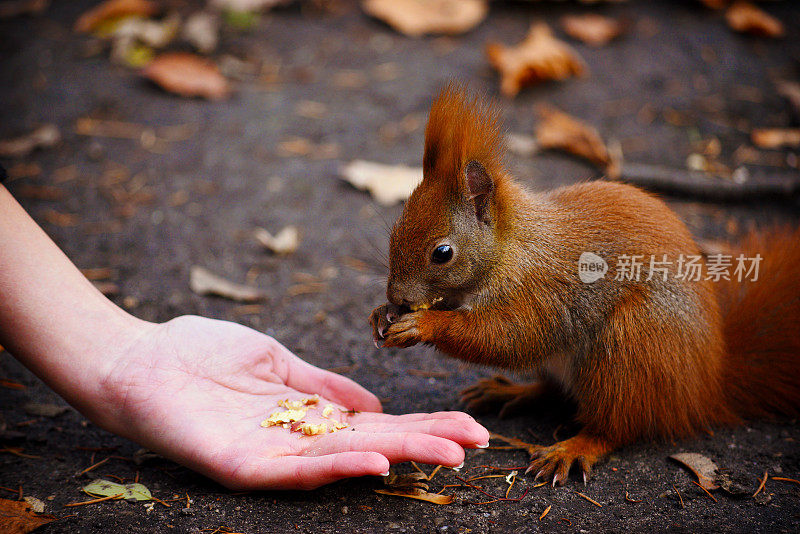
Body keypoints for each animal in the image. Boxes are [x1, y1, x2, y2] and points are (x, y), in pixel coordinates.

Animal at [370, 86, 800, 488]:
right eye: (394, 232)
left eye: (442, 253)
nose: (398, 297)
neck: (512, 249)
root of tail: (705, 386)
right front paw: (381, 315)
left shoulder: (546, 290)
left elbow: (508, 335)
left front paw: (423, 325)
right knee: (556, 390)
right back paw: (511, 392)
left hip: (633, 347)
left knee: (616, 426)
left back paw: (574, 448)